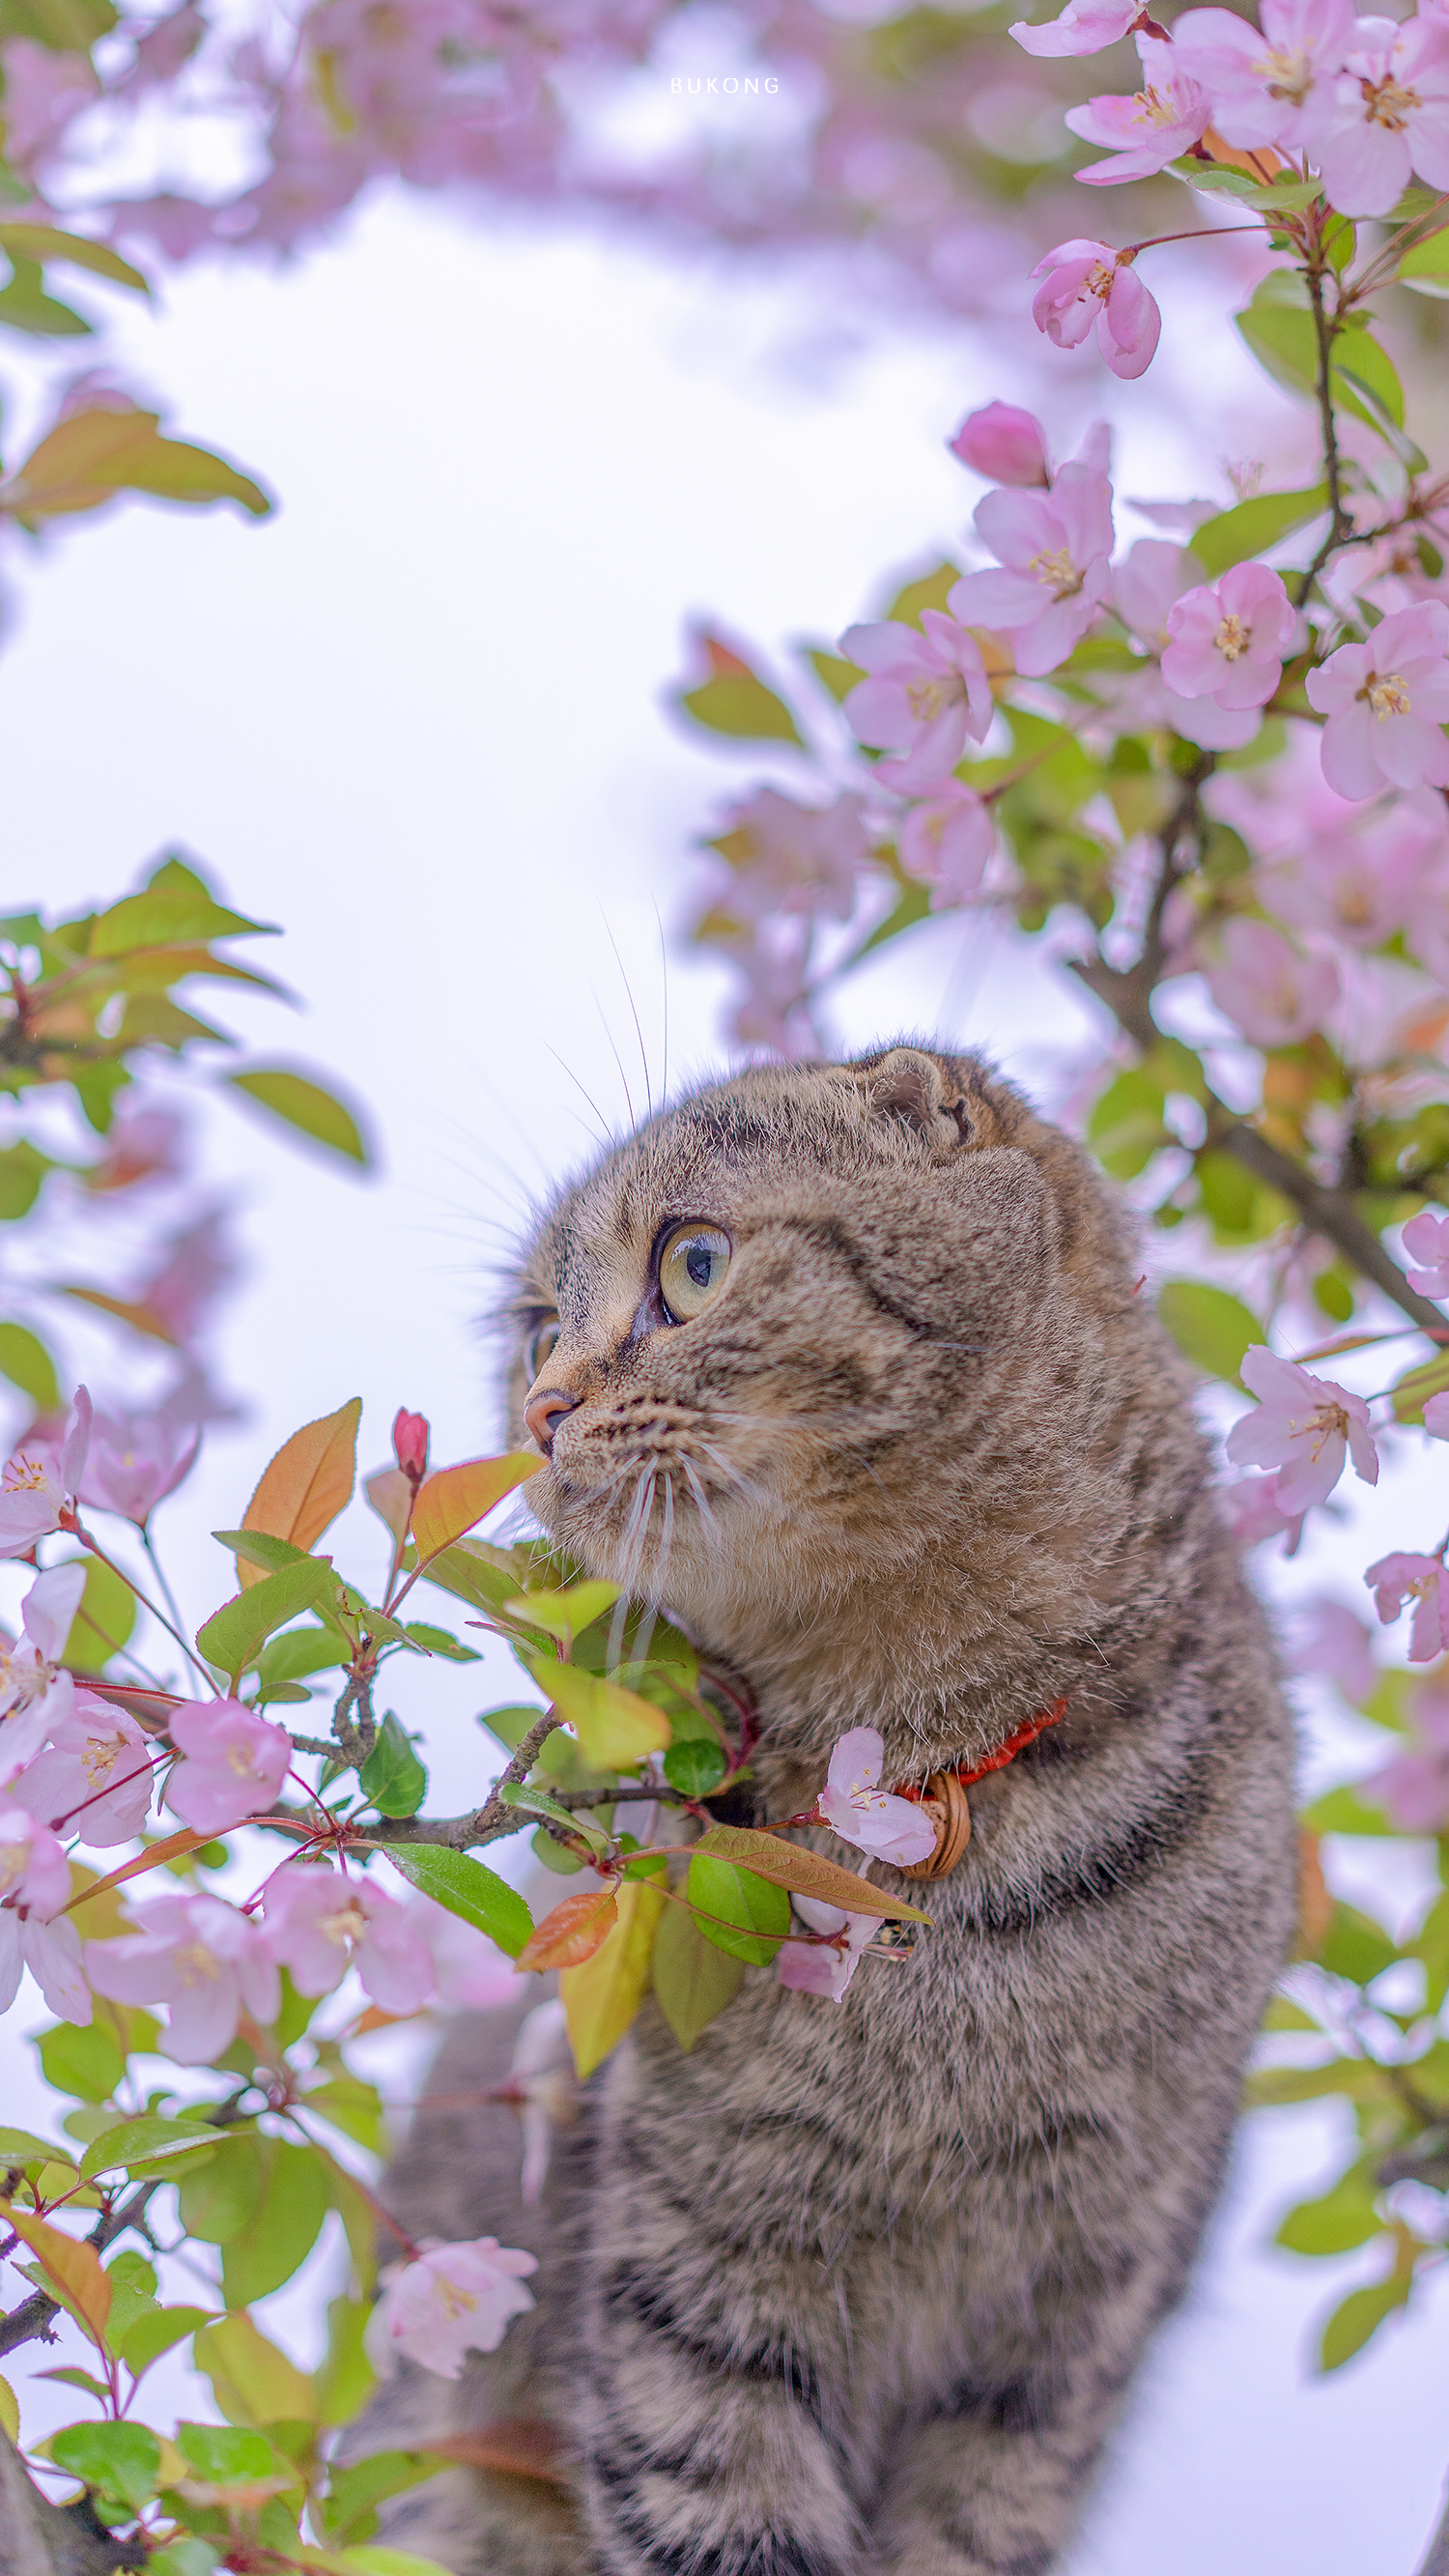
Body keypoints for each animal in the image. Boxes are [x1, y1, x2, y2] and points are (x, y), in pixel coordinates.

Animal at [355, 1041, 1302, 2576]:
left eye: (691, 1264)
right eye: (535, 1331)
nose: (542, 1411)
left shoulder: (1070, 2320)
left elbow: (972, 2528)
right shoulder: (695, 2270)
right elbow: (723, 2509)